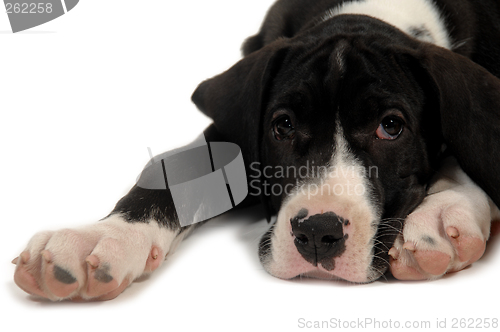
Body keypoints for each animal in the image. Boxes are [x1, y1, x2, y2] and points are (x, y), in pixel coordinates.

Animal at [11, 0, 500, 300]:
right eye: (282, 125)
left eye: (391, 127)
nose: (318, 233)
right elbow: (172, 173)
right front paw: (102, 237)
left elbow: (467, 147)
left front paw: (444, 210)